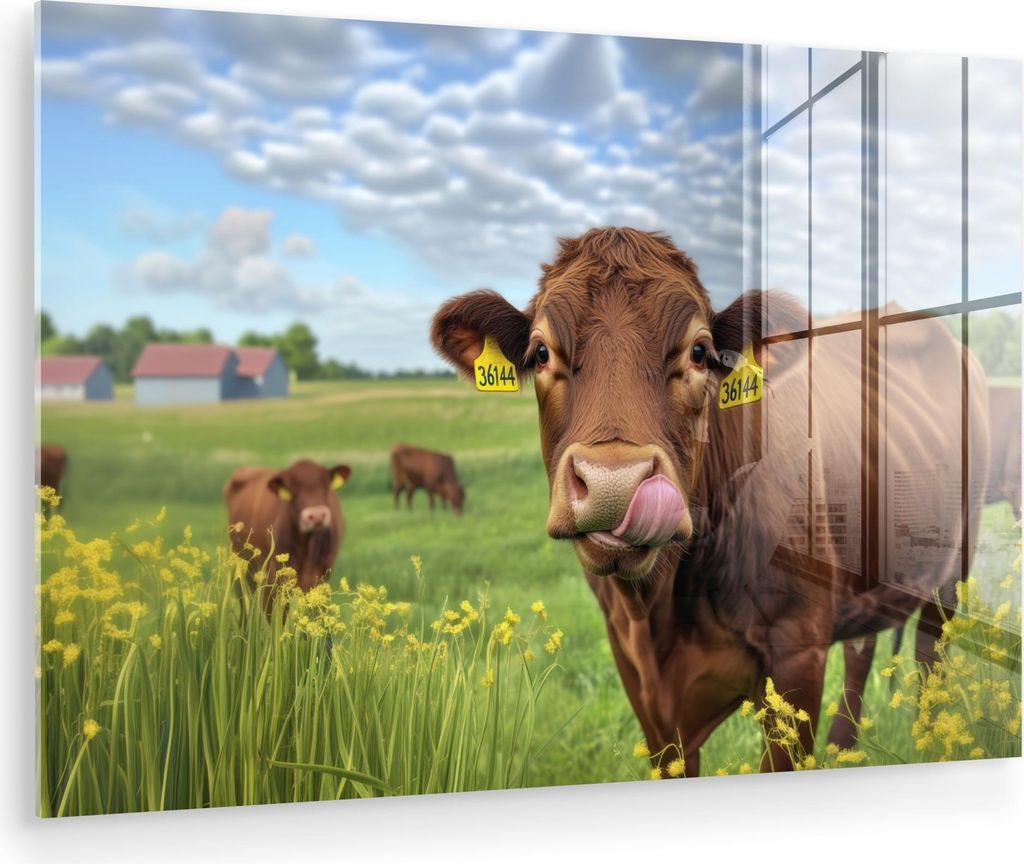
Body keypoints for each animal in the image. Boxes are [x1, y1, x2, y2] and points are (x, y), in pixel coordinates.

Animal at [431, 227, 988, 774]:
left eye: (699, 352)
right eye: (542, 352)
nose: (615, 483)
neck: (661, 610)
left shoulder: (798, 652)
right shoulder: (638, 675)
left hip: (955, 561)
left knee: (929, 649)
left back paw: (927, 740)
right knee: (863, 646)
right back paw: (844, 746)